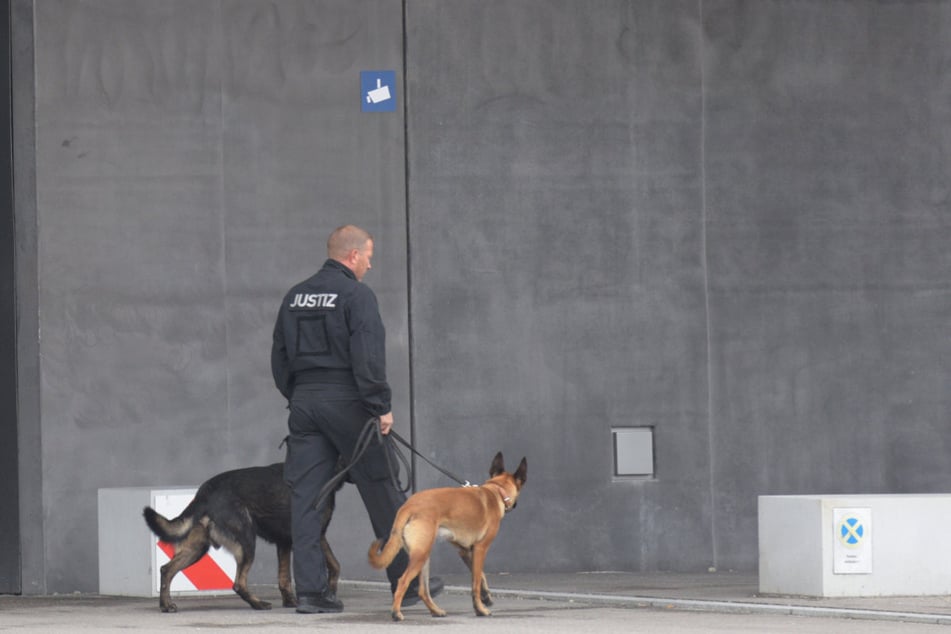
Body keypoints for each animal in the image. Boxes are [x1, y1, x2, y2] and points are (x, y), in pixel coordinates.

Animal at [368, 452, 528, 620]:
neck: (496, 490)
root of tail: (408, 506)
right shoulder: (480, 549)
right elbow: (476, 582)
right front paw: (480, 609)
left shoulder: (466, 551)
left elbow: (480, 576)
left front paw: (486, 597)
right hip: (420, 555)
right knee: (403, 581)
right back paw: (396, 613)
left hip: (423, 556)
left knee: (423, 590)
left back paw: (435, 610)